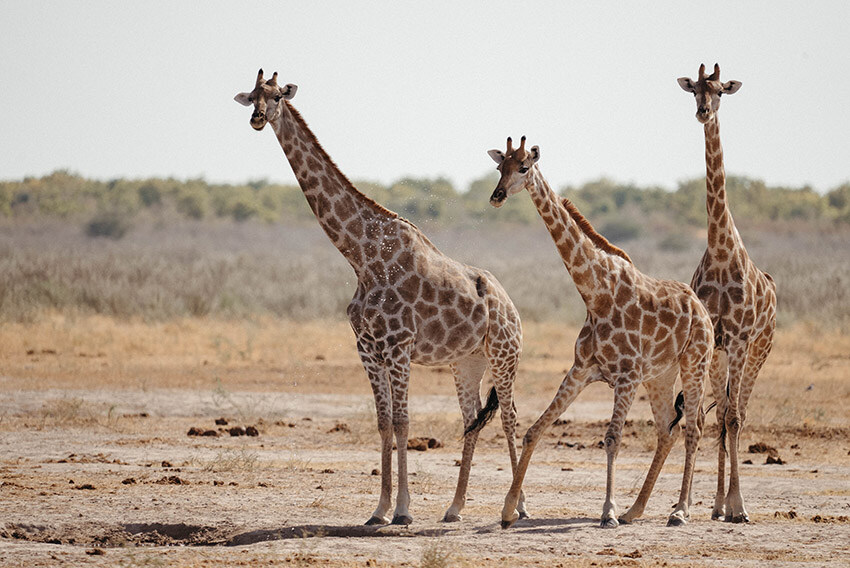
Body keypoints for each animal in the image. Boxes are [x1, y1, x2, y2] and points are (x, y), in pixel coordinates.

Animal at [234, 69, 524, 524]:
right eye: (252, 96)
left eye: (279, 95)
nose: (258, 119)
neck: (361, 255)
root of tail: (513, 307)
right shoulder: (368, 348)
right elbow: (384, 422)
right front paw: (380, 509)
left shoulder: (399, 346)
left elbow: (404, 422)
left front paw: (403, 510)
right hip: (467, 362)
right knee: (472, 419)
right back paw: (455, 508)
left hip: (504, 354)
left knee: (511, 418)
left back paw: (518, 508)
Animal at [486, 136, 712, 528]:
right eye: (501, 167)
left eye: (524, 167)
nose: (497, 195)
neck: (596, 293)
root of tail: (702, 310)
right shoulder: (581, 370)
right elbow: (535, 430)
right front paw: (509, 508)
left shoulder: (626, 376)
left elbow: (612, 438)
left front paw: (607, 511)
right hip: (661, 375)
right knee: (668, 429)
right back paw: (636, 509)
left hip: (694, 364)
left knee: (693, 427)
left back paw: (680, 511)